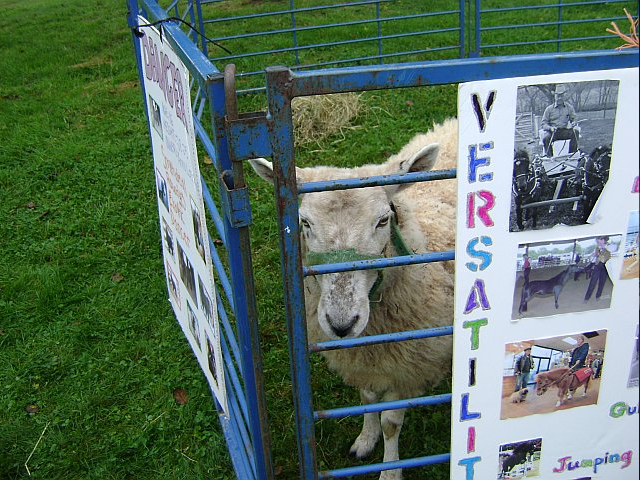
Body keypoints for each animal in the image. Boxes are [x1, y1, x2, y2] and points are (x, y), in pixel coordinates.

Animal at [248, 117, 458, 480]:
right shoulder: (365, 357)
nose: (342, 324)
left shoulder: (407, 368)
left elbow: (390, 422)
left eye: (384, 220)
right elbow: (367, 397)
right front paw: (365, 439)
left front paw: (390, 470)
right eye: (304, 222)